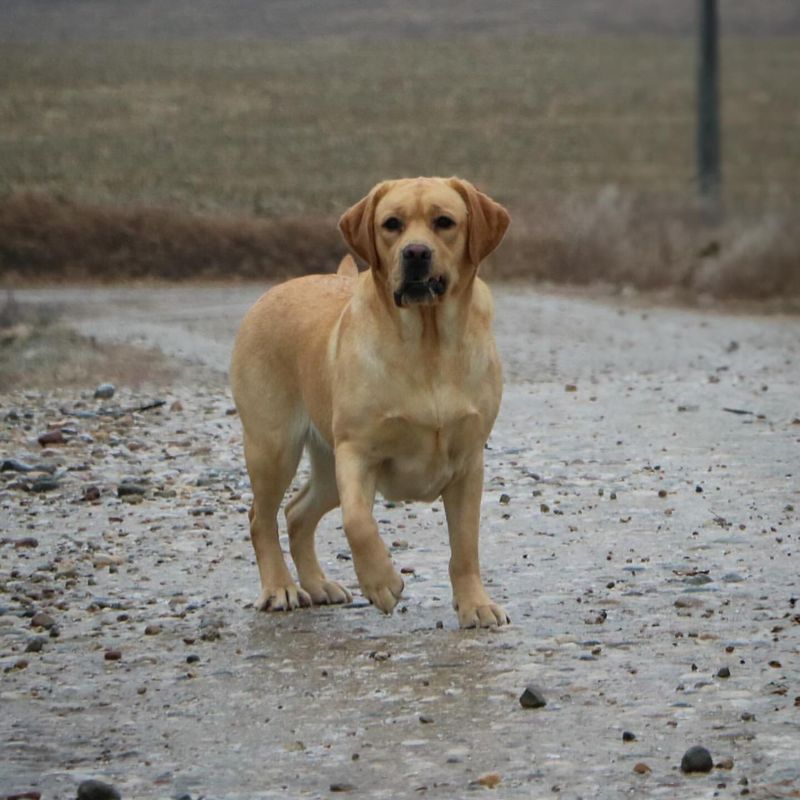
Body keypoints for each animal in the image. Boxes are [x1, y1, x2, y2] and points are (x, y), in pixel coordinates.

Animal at [228, 178, 510, 628]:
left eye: (444, 222)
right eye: (391, 224)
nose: (415, 253)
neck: (428, 343)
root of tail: (274, 290)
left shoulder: (469, 462)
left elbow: (465, 547)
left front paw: (475, 605)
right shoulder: (357, 450)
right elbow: (358, 522)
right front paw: (382, 583)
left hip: (323, 469)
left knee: (296, 513)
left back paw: (318, 585)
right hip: (273, 448)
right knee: (262, 517)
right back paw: (280, 588)